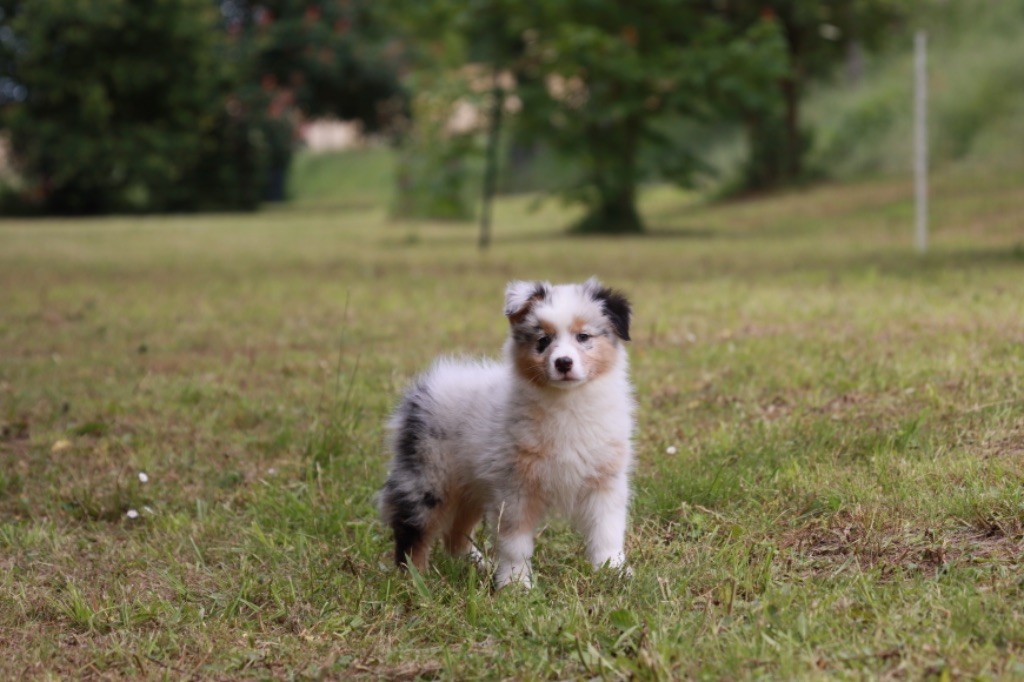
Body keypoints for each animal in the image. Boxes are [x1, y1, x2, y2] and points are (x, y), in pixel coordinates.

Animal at [378, 276, 630, 585]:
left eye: (583, 337)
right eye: (543, 341)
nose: (563, 363)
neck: (568, 402)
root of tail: (420, 391)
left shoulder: (605, 481)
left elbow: (607, 532)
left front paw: (613, 571)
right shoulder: (516, 487)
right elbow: (515, 542)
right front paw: (516, 583)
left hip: (471, 485)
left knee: (455, 534)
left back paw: (477, 565)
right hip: (430, 478)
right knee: (413, 531)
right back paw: (414, 580)